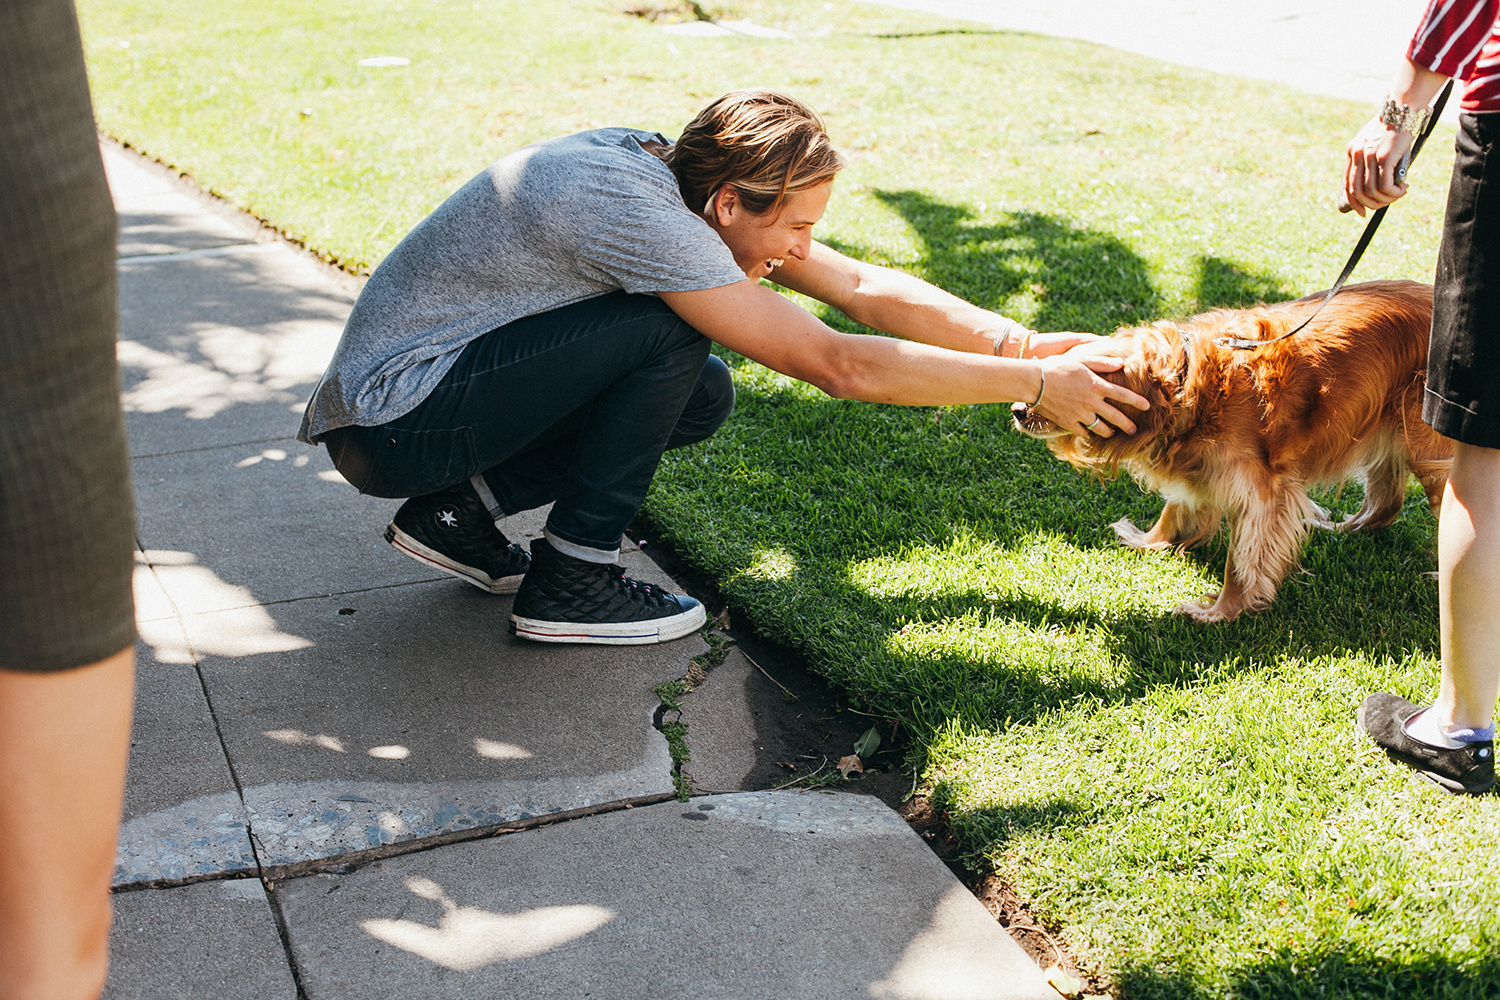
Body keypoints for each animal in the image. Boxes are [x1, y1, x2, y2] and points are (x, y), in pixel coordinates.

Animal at [1014, 281, 1446, 620]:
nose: (1017, 409)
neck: (1190, 383)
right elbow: (1175, 508)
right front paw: (1150, 541)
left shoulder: (1259, 494)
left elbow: (1240, 563)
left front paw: (1221, 611)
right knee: (1386, 501)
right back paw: (1341, 527)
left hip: (1432, 451)